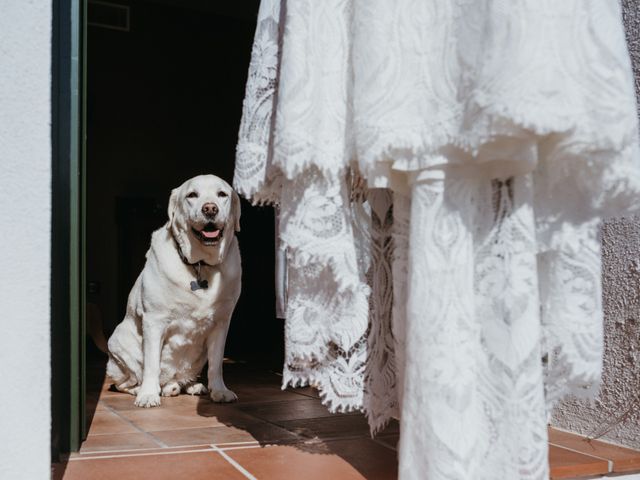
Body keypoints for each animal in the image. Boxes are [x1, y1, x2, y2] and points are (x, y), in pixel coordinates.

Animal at [106, 174, 241, 406]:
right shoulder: (154, 320)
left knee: (180, 378)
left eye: (222, 194)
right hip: (118, 343)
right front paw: (148, 394)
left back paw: (186, 386)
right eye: (192, 195)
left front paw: (219, 390)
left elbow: (217, 363)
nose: (210, 209)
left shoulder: (222, 322)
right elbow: (152, 363)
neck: (200, 264)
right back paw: (144, 389)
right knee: (125, 382)